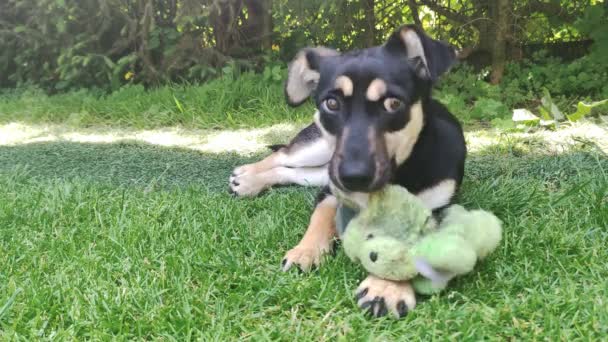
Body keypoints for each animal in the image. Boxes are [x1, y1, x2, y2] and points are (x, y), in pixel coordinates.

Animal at [228, 25, 466, 320]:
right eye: (331, 103)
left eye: (393, 104)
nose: (353, 177)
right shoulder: (332, 188)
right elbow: (321, 215)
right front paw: (305, 251)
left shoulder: (436, 211)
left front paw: (386, 288)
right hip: (320, 148)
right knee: (283, 154)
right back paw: (248, 176)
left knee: (290, 170)